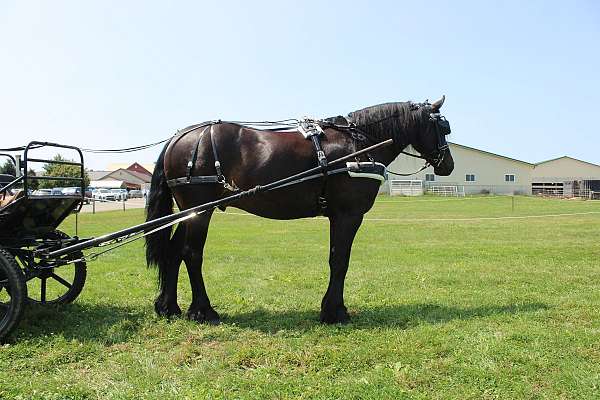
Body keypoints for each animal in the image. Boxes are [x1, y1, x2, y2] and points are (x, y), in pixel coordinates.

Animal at [146, 97, 454, 324]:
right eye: (443, 128)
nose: (448, 165)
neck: (358, 145)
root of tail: (180, 137)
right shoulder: (348, 215)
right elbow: (339, 261)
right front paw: (334, 311)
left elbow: (336, 259)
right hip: (200, 211)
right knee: (191, 254)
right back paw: (203, 311)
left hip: (189, 212)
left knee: (173, 252)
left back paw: (168, 307)